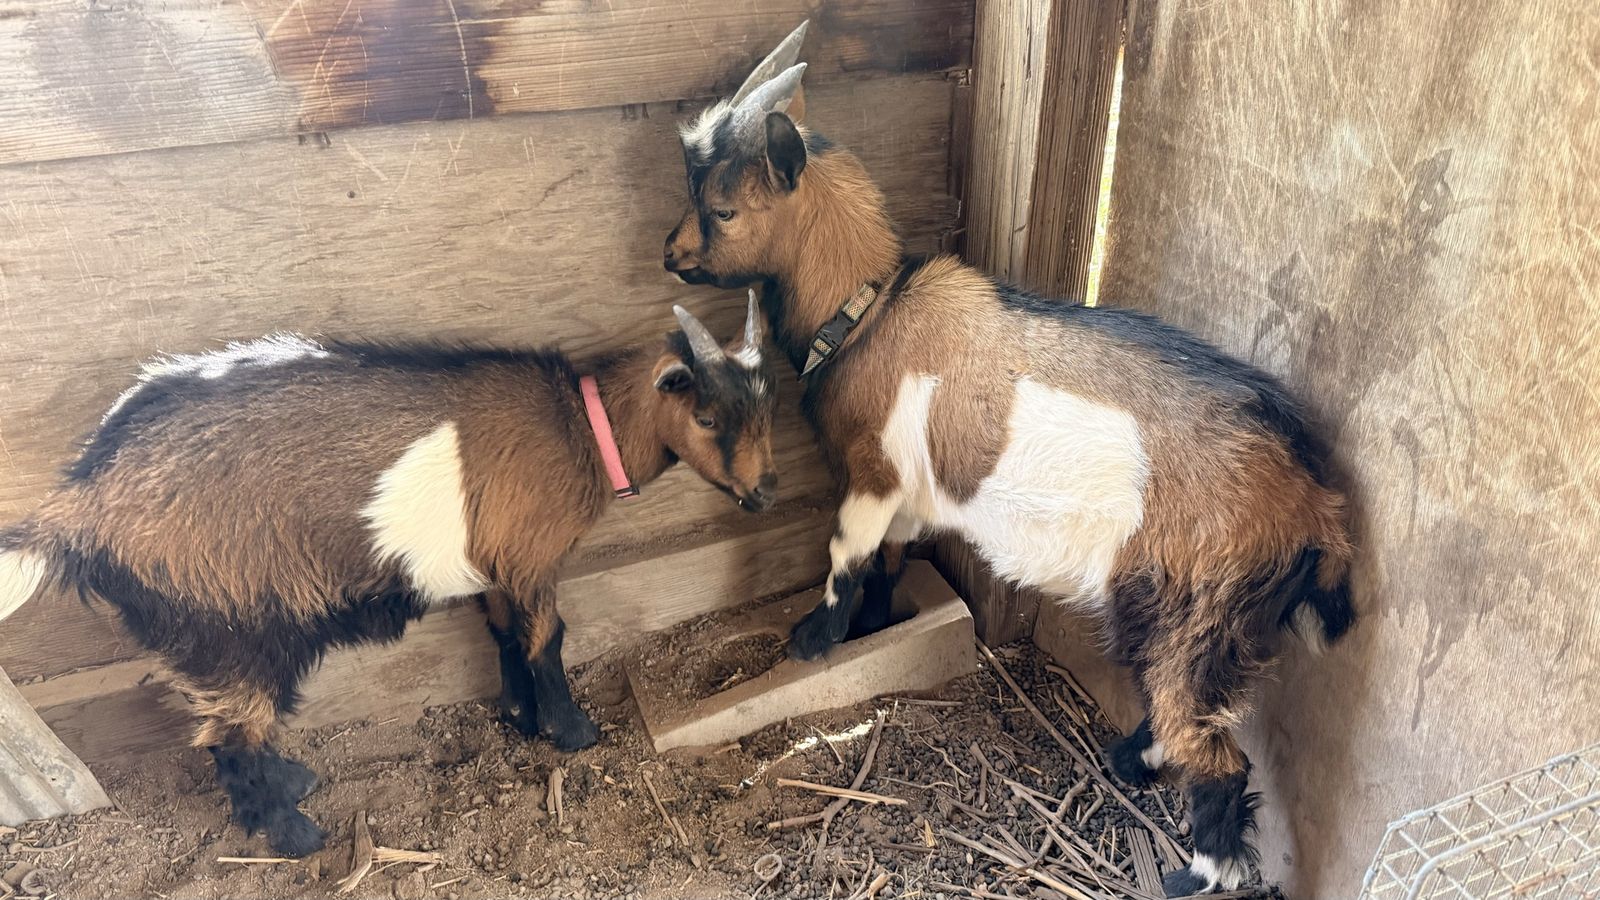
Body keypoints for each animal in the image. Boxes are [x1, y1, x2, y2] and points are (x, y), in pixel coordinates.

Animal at [0, 300, 776, 857]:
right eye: (706, 416)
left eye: (764, 408)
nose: (766, 493)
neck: (581, 429)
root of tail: (83, 502)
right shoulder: (532, 558)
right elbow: (547, 639)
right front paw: (571, 731)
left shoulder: (496, 565)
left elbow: (504, 636)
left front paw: (517, 718)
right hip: (224, 619)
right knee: (230, 734)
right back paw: (294, 835)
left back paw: (295, 783)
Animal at [663, 25, 1356, 896]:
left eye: (722, 207)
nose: (669, 252)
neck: (868, 312)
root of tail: (1315, 505)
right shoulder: (907, 489)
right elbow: (890, 558)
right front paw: (876, 623)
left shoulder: (871, 472)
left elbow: (845, 554)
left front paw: (813, 640)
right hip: (1195, 617)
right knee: (1184, 713)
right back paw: (1127, 761)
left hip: (1196, 608)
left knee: (1216, 753)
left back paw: (1192, 871)